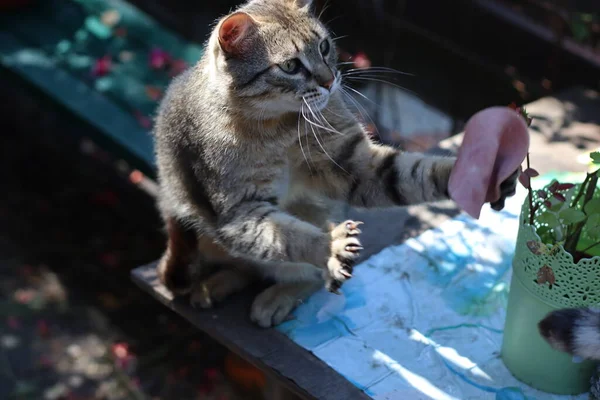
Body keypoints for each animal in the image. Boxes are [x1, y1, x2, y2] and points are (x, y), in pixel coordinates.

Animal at [152, 0, 516, 326]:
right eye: (290, 66)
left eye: (325, 46)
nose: (330, 80)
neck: (278, 125)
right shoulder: (237, 211)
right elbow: (288, 237)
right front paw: (329, 246)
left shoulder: (356, 165)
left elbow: (416, 174)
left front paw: (476, 175)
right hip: (196, 234)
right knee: (254, 264)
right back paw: (217, 285)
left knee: (293, 274)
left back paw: (270, 294)